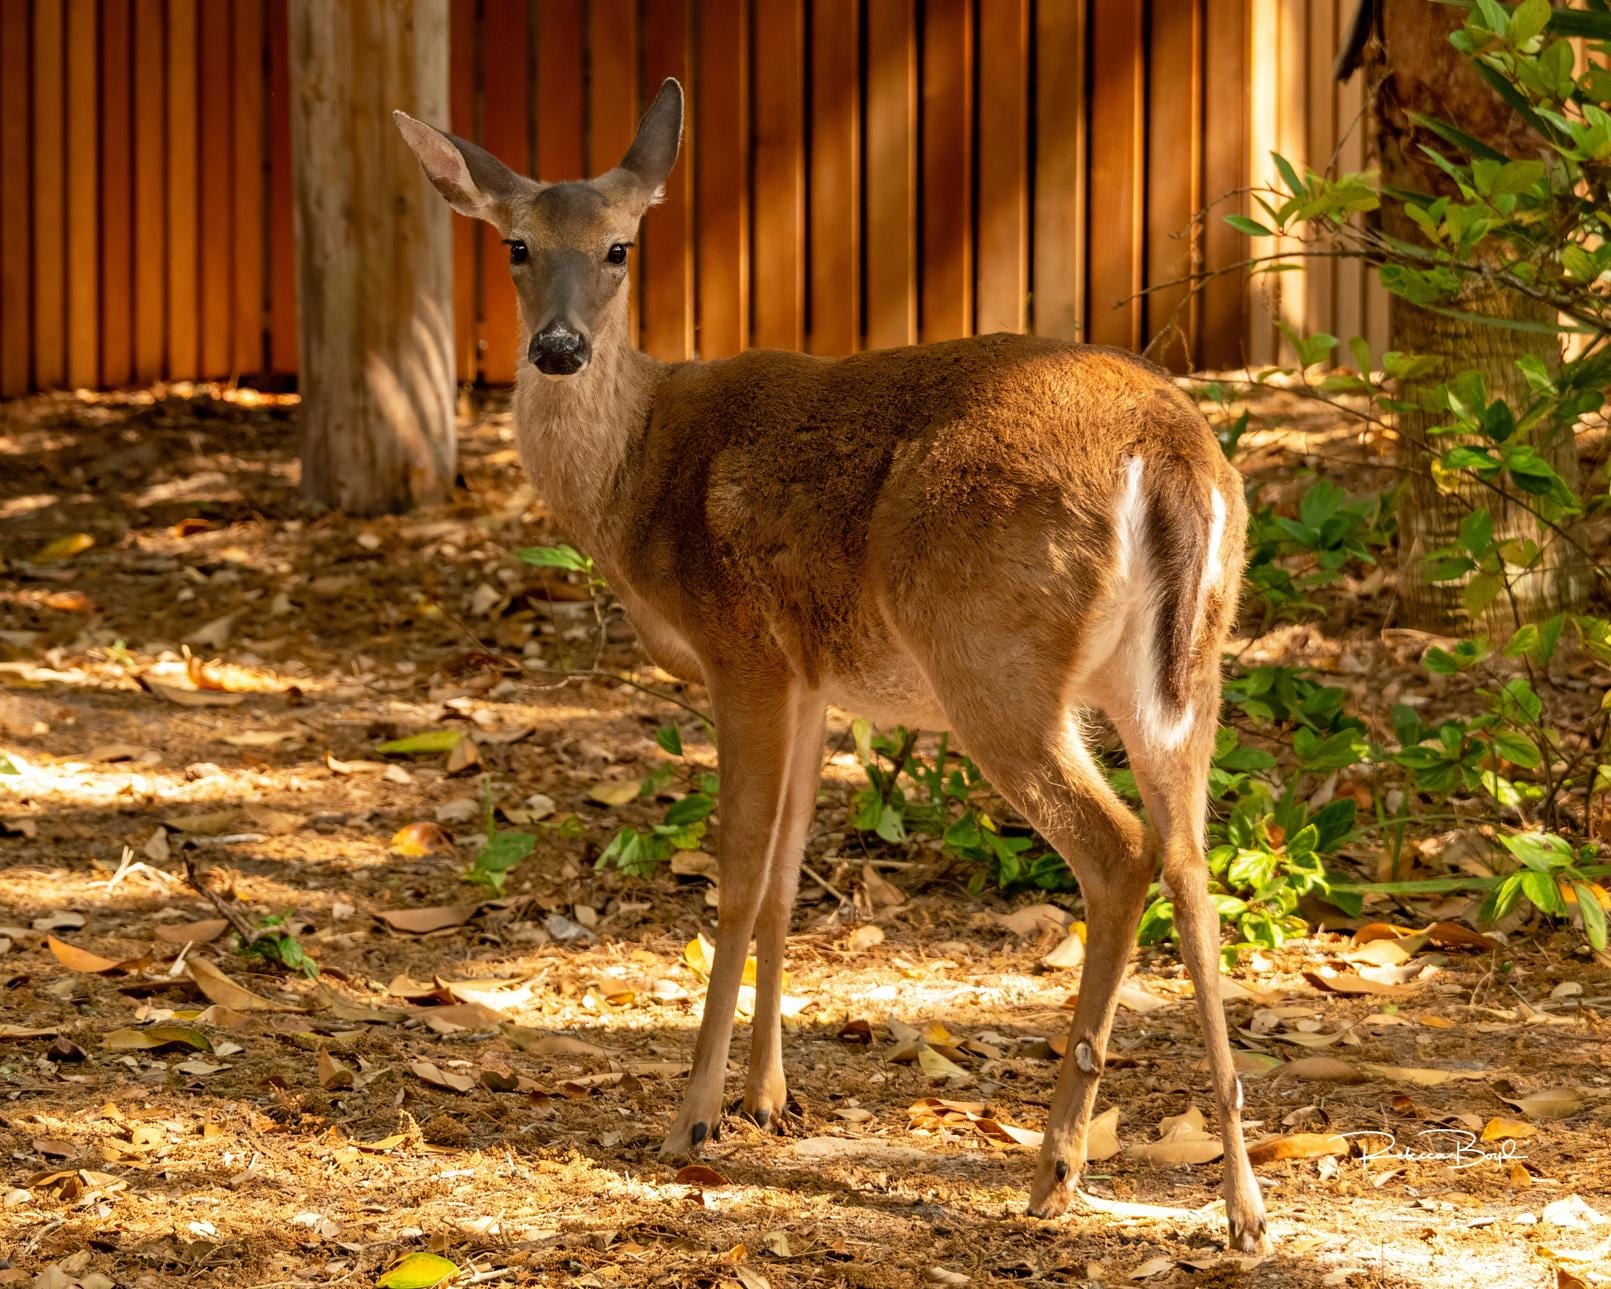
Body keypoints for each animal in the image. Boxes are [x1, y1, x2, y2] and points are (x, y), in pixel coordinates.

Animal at [394, 79, 1267, 1254]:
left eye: (622, 245)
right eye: (517, 244)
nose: (559, 348)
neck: (633, 481)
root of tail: (1171, 457)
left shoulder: (743, 651)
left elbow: (734, 876)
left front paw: (696, 1115)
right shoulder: (811, 678)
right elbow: (785, 879)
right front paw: (768, 1096)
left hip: (990, 651)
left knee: (1119, 849)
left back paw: (1057, 1165)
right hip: (1186, 673)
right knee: (1192, 861)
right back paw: (1242, 1202)